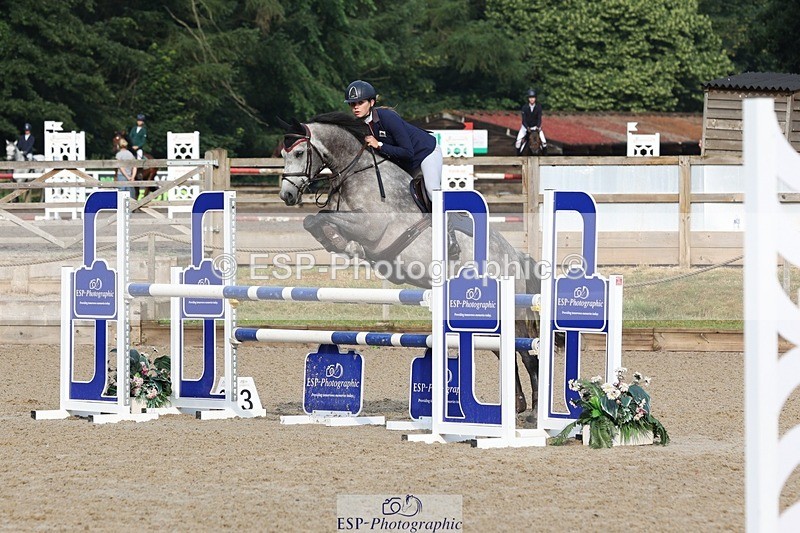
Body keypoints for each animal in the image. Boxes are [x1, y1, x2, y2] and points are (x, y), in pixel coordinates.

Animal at [278, 112, 541, 414]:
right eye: (283, 154)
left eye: (299, 153)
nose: (286, 195)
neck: (357, 173)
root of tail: (516, 256)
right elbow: (313, 220)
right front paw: (338, 243)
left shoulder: (371, 227)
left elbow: (324, 219)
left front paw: (348, 246)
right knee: (502, 350)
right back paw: (516, 406)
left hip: (510, 309)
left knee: (526, 352)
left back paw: (533, 412)